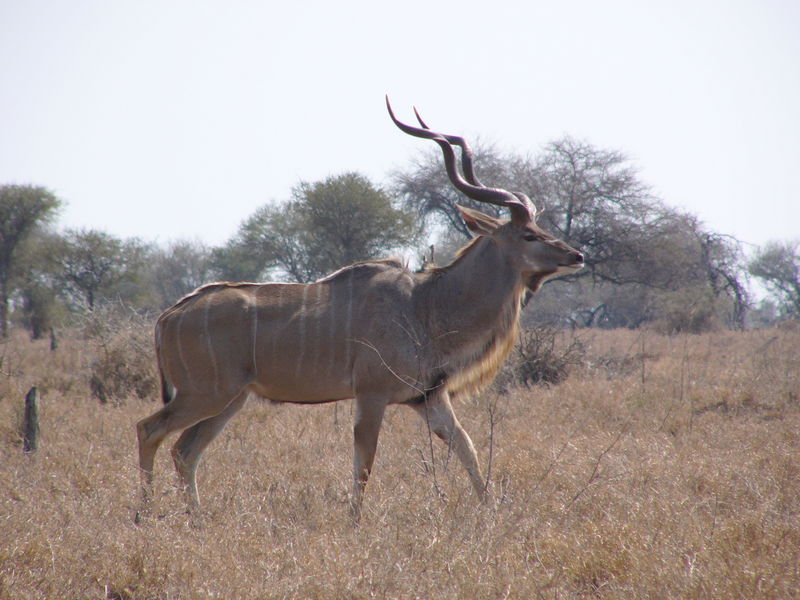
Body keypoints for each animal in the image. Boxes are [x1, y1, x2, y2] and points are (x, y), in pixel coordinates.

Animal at [138, 99, 584, 520]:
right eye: (529, 235)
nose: (576, 255)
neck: (425, 306)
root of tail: (167, 317)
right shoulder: (371, 394)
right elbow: (365, 463)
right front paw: (354, 521)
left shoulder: (429, 399)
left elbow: (467, 447)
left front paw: (490, 513)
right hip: (205, 394)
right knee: (150, 429)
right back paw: (143, 515)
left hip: (230, 400)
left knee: (184, 450)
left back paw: (196, 518)